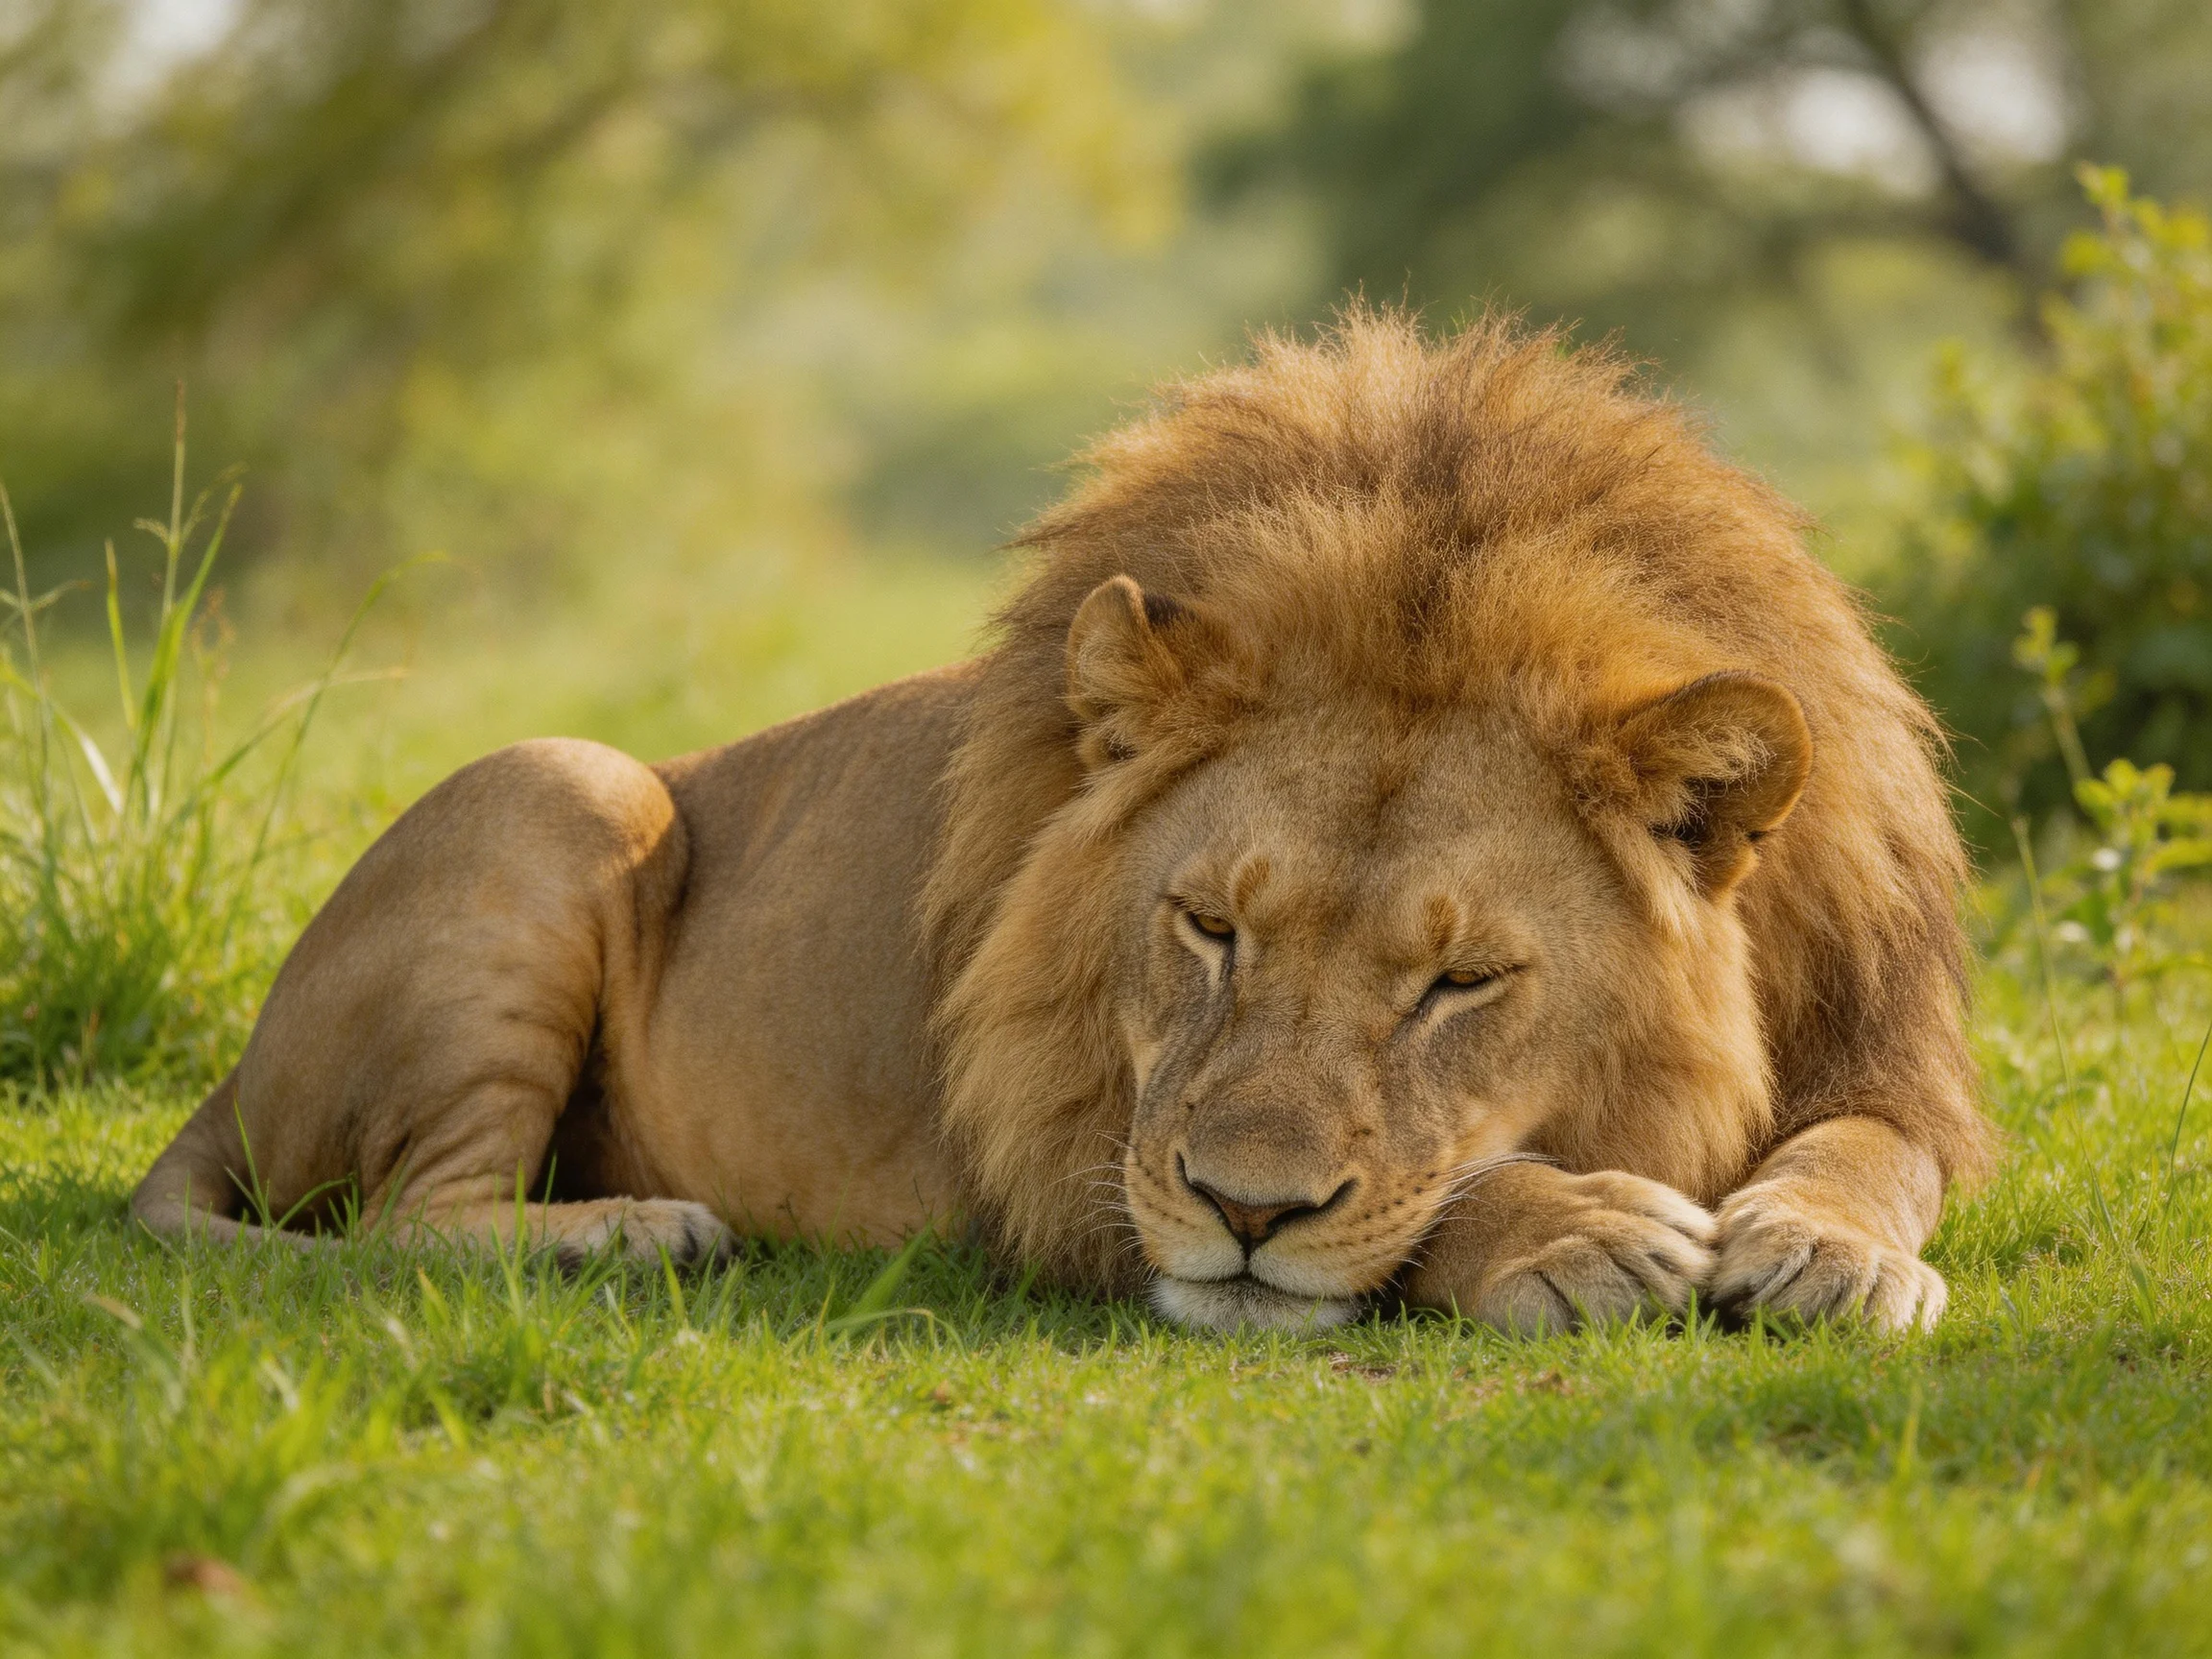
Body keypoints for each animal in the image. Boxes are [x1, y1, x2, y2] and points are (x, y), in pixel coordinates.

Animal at [134, 308, 1989, 1334]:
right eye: (1208, 926)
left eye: (1460, 985)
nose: (1244, 1213)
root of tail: (227, 1075)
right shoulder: (1057, 1140)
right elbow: (1422, 1200)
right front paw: (1578, 1229)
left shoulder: (1881, 1035)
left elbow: (1870, 1148)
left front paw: (1822, 1250)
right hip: (559, 776)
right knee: (405, 1220)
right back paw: (628, 1232)